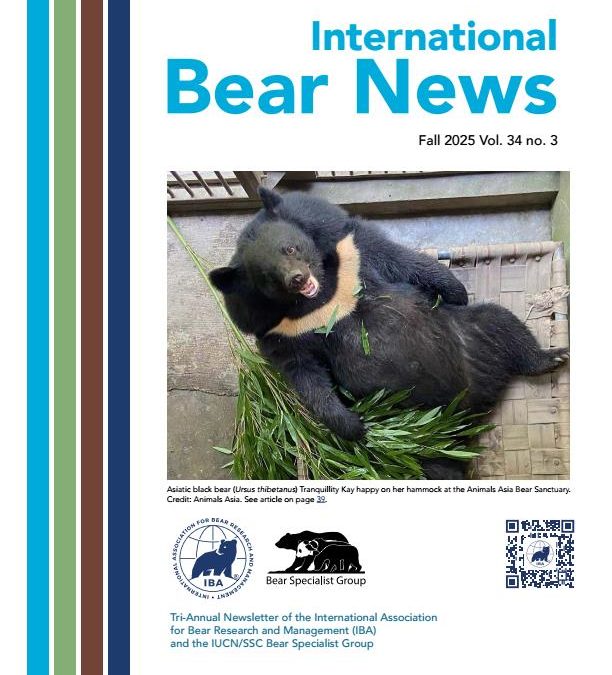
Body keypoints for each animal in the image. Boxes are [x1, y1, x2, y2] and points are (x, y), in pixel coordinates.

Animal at [210, 188, 569, 479]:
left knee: (503, 324)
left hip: (473, 334)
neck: (316, 299)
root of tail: (469, 406)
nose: (297, 279)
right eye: (267, 276)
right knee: (438, 466)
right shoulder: (275, 330)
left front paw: (455, 291)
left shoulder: (344, 242)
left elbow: (393, 257)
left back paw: (552, 357)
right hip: (426, 444)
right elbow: (304, 373)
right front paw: (354, 426)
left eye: (290, 248)